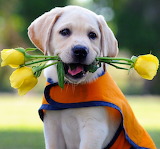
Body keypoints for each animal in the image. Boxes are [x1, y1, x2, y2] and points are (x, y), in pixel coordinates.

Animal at [27, 5, 156, 149]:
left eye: (92, 35)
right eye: (65, 32)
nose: (80, 50)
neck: (71, 87)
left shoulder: (94, 128)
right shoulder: (52, 127)